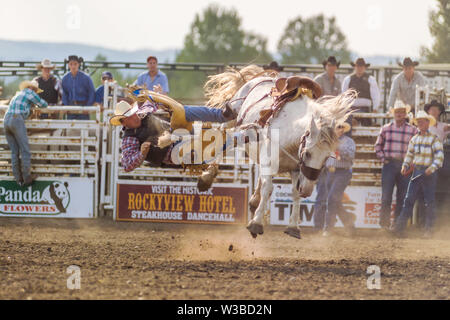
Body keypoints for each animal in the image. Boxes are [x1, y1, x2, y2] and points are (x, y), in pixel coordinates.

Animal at [204, 65, 356, 240]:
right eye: (308, 153)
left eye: (325, 159)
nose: (308, 191)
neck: (288, 133)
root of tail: (260, 78)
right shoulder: (270, 162)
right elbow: (268, 189)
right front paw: (256, 223)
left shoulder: (296, 169)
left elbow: (294, 193)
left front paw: (293, 227)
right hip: (231, 119)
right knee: (222, 137)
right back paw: (207, 175)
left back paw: (253, 202)